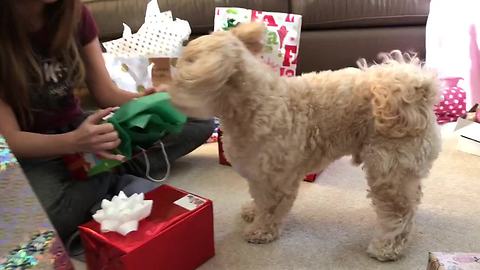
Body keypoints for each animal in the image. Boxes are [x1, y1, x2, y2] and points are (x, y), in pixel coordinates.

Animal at [168, 23, 438, 262]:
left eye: (185, 66)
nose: (167, 92)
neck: (254, 104)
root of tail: (418, 93)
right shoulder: (258, 175)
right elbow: (259, 199)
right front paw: (253, 212)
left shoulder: (276, 180)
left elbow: (270, 208)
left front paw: (261, 230)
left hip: (389, 171)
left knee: (399, 215)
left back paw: (386, 248)